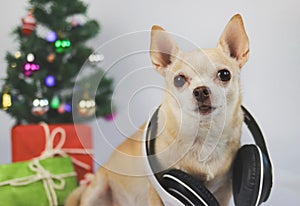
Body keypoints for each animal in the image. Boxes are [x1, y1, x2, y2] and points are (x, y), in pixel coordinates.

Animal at [67, 13, 250, 205]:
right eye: (179, 80)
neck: (203, 136)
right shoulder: (156, 189)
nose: (200, 91)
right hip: (97, 188)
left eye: (224, 75)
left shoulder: (223, 191)